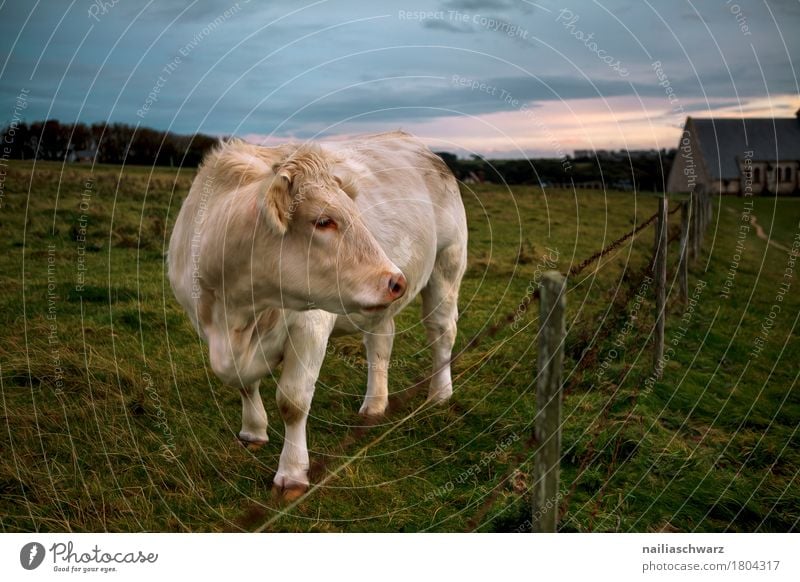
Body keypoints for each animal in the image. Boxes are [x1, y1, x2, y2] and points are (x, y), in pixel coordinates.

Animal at [170, 132, 468, 502]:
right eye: (324, 221)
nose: (396, 281)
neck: (237, 310)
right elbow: (242, 380)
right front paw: (253, 431)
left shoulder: (309, 326)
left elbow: (293, 401)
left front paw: (292, 473)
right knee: (380, 343)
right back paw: (374, 405)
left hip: (447, 265)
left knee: (442, 332)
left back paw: (439, 395)